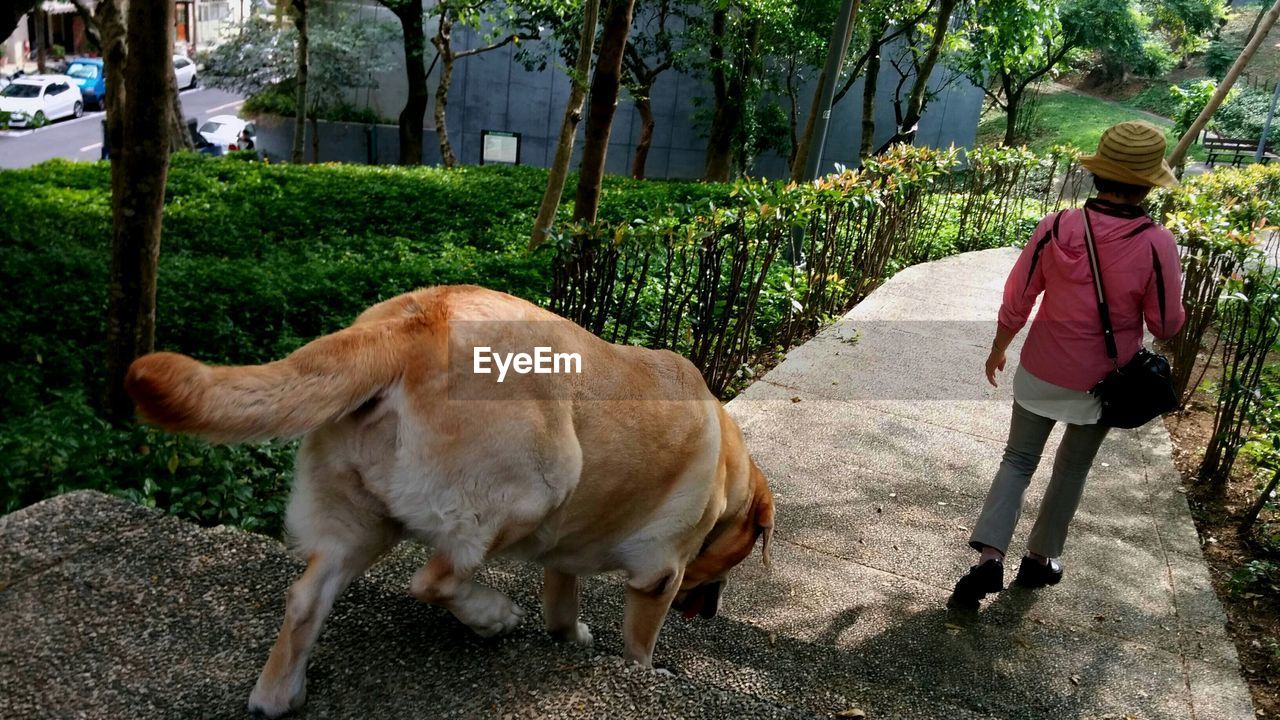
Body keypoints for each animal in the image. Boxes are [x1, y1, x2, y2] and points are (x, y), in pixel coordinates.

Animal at [127, 283, 768, 712]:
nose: (710, 610)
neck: (730, 470)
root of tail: (413, 322)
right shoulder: (659, 575)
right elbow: (640, 644)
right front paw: (645, 674)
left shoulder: (566, 557)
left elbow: (562, 603)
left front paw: (571, 637)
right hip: (538, 485)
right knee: (434, 578)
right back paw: (492, 615)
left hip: (359, 516)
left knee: (306, 596)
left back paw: (277, 694)